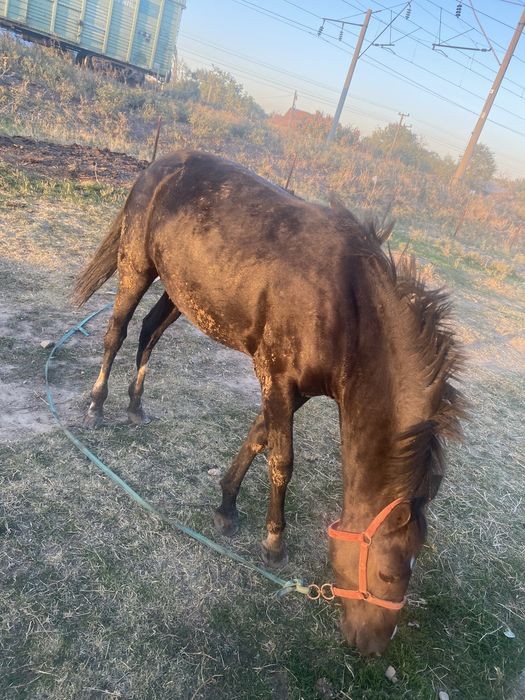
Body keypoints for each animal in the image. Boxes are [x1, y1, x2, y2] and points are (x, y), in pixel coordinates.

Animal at [73, 150, 465, 655]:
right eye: (387, 573)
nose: (372, 646)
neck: (345, 305)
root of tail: (160, 166)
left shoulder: (293, 391)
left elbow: (257, 438)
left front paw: (226, 507)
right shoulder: (277, 380)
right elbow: (281, 460)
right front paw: (273, 541)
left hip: (179, 290)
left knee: (149, 332)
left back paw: (136, 405)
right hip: (137, 267)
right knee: (117, 332)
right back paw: (97, 406)